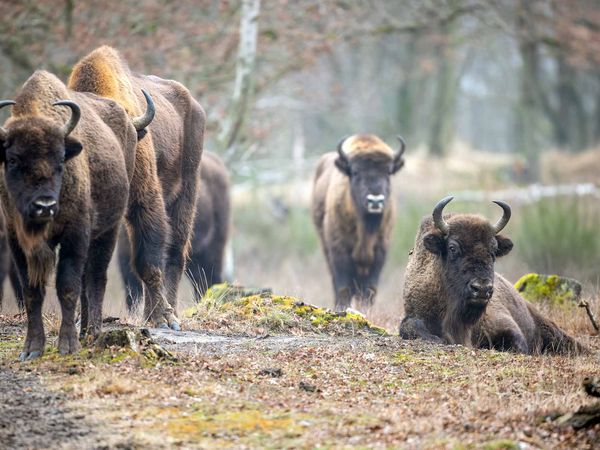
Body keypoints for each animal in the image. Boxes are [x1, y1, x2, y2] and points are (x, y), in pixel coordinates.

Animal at [0, 70, 154, 358]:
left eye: (61, 158)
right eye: (12, 159)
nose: (44, 205)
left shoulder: (75, 235)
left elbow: (68, 286)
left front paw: (67, 346)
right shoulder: (17, 241)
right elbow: (32, 291)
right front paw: (31, 349)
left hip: (108, 230)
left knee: (96, 276)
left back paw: (92, 331)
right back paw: (84, 330)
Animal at [68, 45, 206, 326]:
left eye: (121, 142)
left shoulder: (145, 200)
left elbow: (148, 260)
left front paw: (164, 317)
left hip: (186, 193)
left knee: (174, 253)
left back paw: (168, 314)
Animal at [312, 133, 406, 310]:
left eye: (388, 172)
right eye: (355, 172)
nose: (375, 201)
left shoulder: (379, 252)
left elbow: (369, 289)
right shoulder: (339, 251)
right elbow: (343, 287)